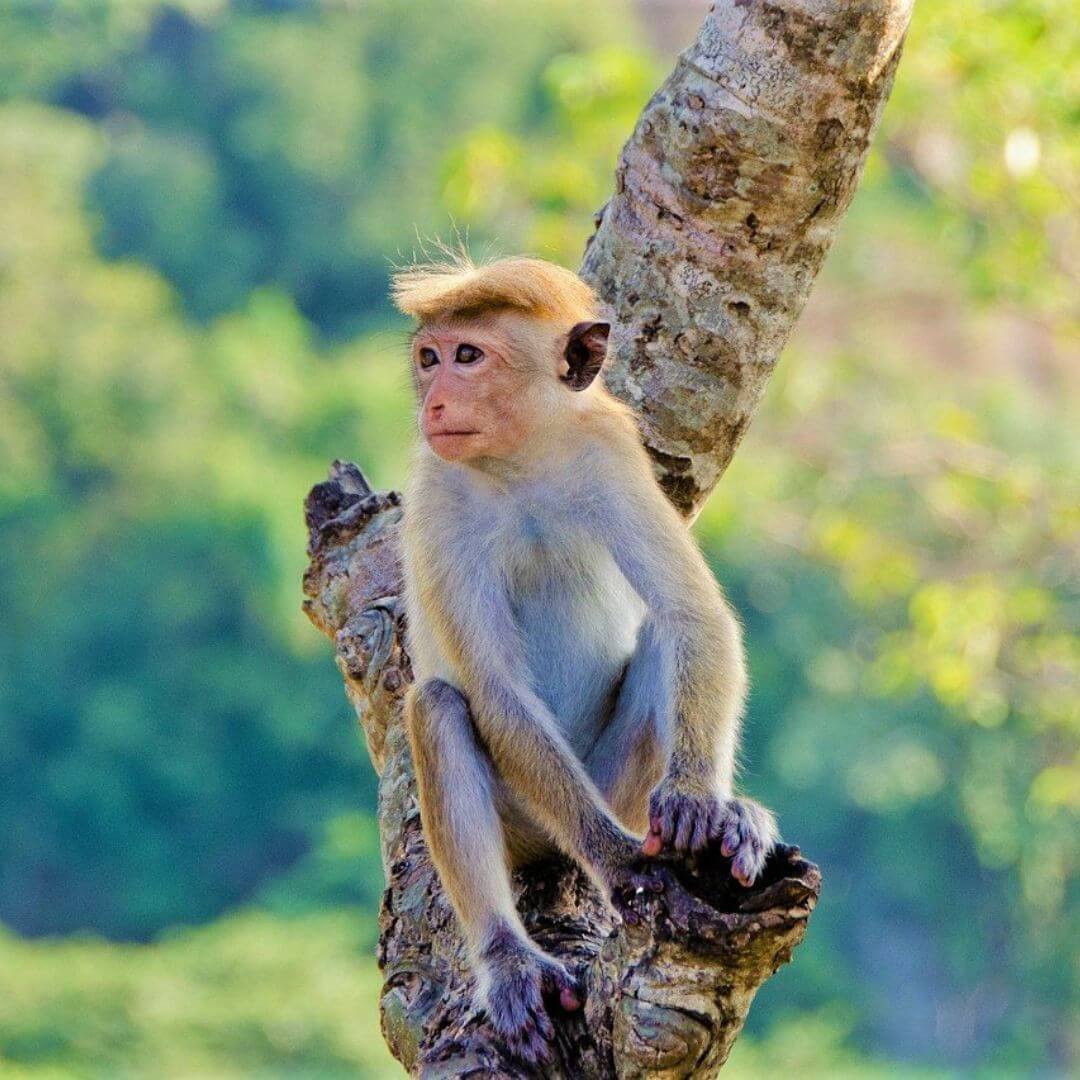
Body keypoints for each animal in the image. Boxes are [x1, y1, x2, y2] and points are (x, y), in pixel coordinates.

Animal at [395, 254, 777, 1062]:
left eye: (467, 355)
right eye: (429, 358)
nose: (436, 401)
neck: (519, 462)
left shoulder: (610, 453)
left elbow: (692, 614)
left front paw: (699, 801)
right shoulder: (438, 498)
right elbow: (497, 690)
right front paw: (618, 862)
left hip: (615, 780)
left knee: (664, 636)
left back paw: (729, 816)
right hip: (528, 816)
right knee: (439, 706)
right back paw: (510, 960)